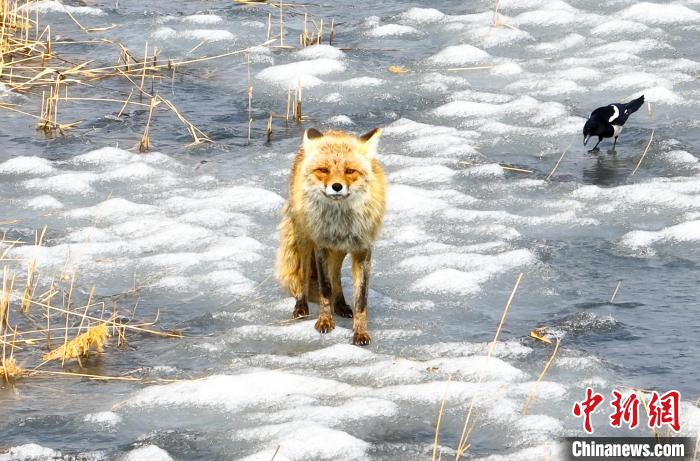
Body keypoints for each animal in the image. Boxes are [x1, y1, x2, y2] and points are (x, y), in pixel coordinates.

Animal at [278, 127, 388, 344]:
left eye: (350, 171)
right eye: (324, 170)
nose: (336, 186)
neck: (340, 220)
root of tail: (332, 131)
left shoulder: (363, 249)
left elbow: (361, 299)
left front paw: (360, 332)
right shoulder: (321, 245)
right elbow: (325, 288)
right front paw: (325, 322)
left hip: (340, 250)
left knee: (336, 274)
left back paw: (341, 305)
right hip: (305, 239)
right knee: (304, 275)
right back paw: (301, 306)